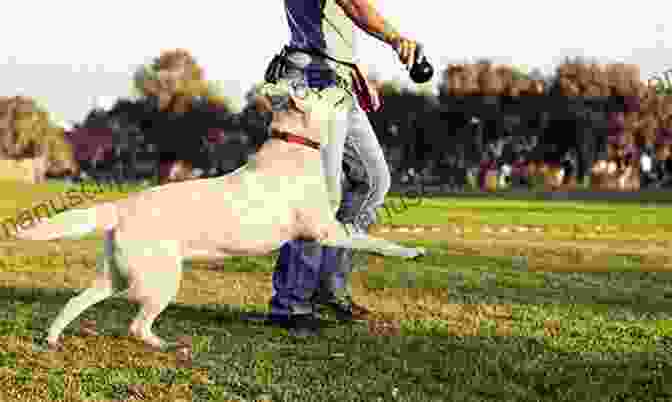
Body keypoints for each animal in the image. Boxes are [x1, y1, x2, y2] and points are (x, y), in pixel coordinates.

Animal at [18, 81, 426, 352]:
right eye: (314, 88)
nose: (338, 80)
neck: (294, 147)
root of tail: (122, 206)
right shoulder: (327, 231)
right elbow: (373, 241)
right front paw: (411, 252)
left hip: (116, 276)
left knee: (76, 301)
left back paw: (52, 339)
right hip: (162, 280)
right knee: (136, 325)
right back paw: (165, 345)